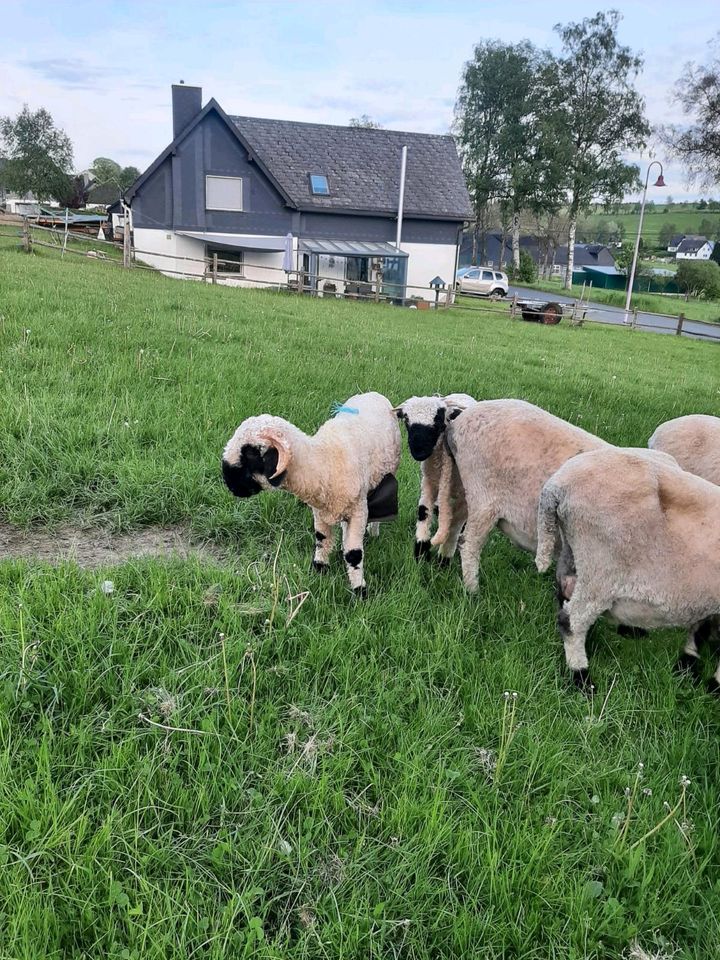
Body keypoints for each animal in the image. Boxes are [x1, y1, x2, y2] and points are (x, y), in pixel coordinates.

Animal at [221, 394, 400, 596]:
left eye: (250, 453)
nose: (229, 484)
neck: (323, 461)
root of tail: (372, 393)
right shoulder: (320, 511)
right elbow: (321, 539)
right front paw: (320, 569)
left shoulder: (358, 510)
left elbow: (354, 554)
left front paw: (360, 591)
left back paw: (373, 532)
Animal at [390, 394, 476, 568]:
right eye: (407, 419)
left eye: (438, 419)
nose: (419, 451)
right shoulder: (428, 483)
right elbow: (423, 512)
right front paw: (421, 554)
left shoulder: (465, 497)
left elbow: (454, 526)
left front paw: (443, 560)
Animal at [536, 446, 720, 692]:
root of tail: (557, 485)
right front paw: (714, 686)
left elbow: (700, 630)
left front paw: (686, 667)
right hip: (601, 567)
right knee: (571, 620)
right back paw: (582, 678)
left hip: (573, 555)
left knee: (564, 593)